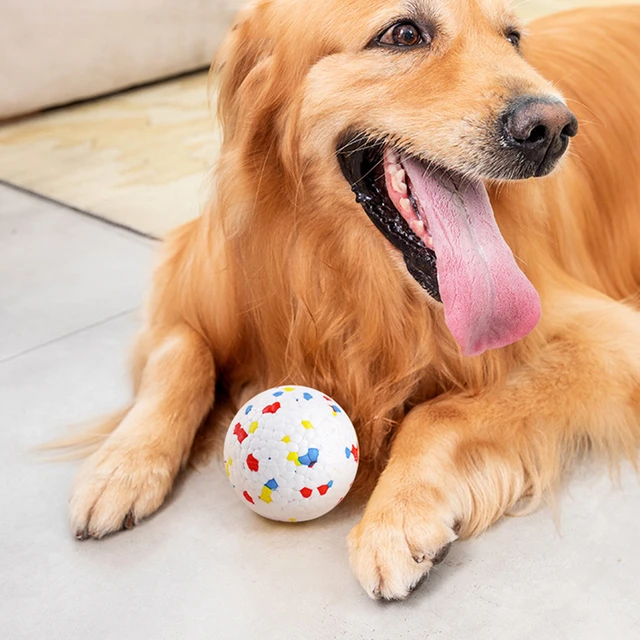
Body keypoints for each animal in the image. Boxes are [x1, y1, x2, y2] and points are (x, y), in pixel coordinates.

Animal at [65, 0, 640, 600]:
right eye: (404, 34)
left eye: (513, 38)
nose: (552, 128)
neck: (342, 271)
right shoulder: (185, 281)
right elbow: (183, 353)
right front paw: (121, 468)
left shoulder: (611, 340)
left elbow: (438, 412)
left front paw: (395, 517)